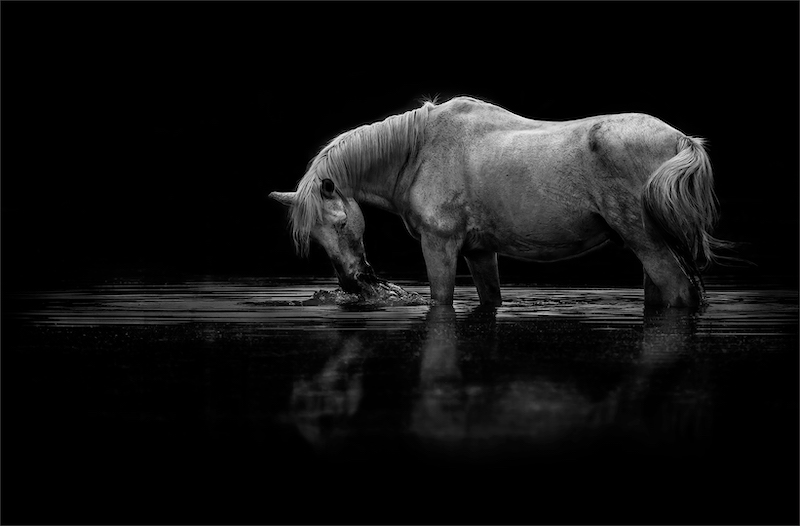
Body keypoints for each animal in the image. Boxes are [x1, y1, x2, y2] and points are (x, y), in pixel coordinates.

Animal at [269, 96, 723, 309]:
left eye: (342, 222)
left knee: (678, 289)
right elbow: (491, 298)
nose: (352, 282)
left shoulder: (440, 246)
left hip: (644, 240)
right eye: (313, 236)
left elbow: (440, 300)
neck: (419, 151)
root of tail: (680, 139)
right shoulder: (480, 252)